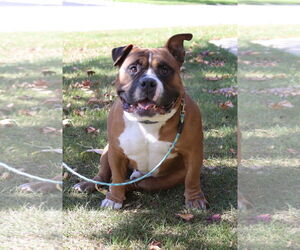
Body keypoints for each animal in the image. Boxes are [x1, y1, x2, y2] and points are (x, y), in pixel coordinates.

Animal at [74, 32, 207, 209]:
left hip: (161, 180)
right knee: (103, 176)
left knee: (137, 183)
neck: (146, 124)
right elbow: (117, 176)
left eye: (164, 69)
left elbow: (192, 177)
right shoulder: (116, 152)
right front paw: (114, 198)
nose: (148, 82)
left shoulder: (193, 152)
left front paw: (195, 198)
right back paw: (88, 184)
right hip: (108, 151)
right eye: (133, 68)